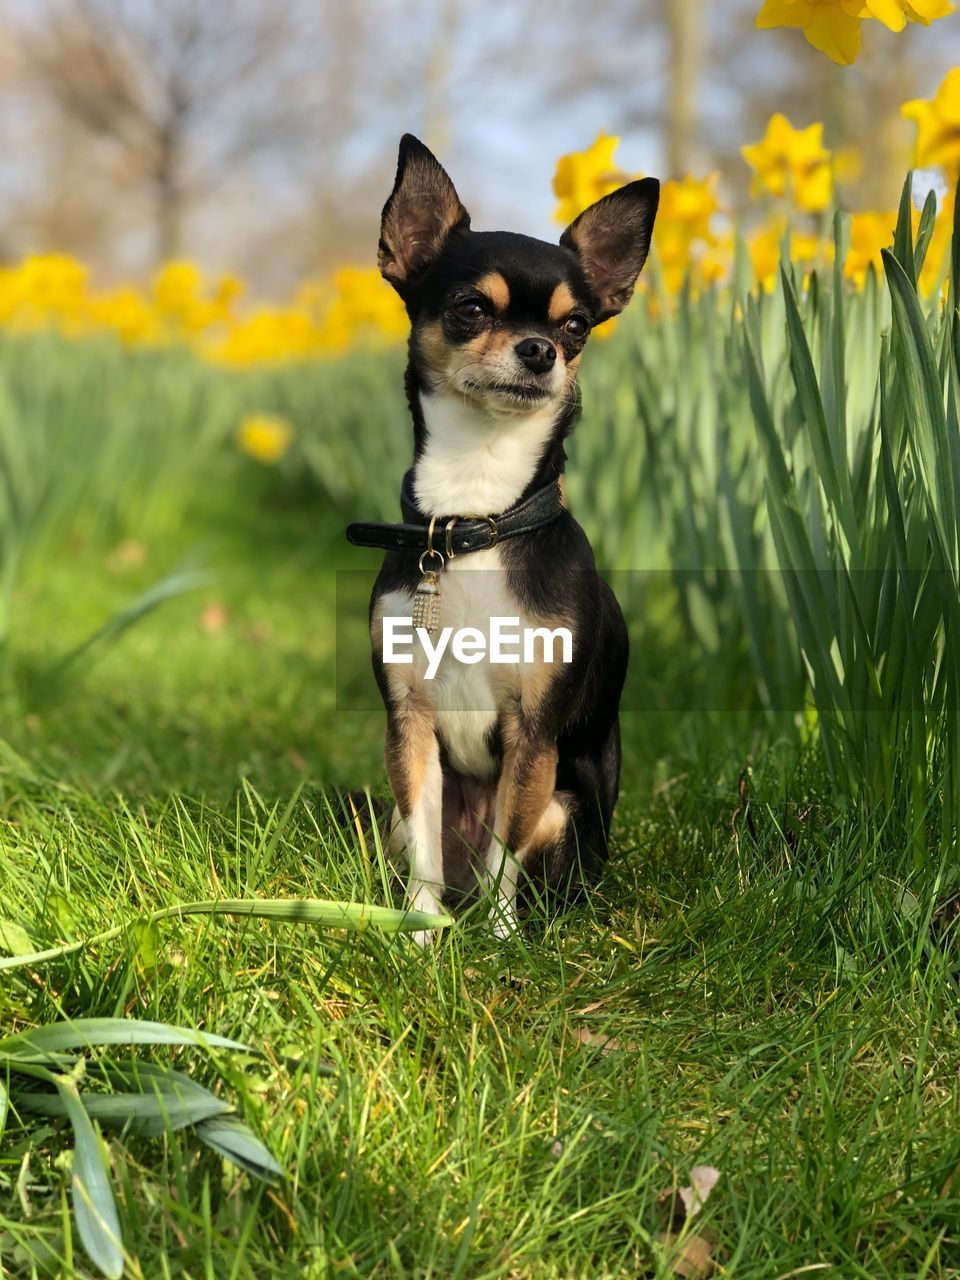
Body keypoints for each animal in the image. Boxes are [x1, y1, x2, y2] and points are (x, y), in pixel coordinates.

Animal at [348, 137, 660, 942]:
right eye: (470, 309)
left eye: (577, 327)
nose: (539, 350)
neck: (474, 519)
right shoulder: (410, 726)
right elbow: (426, 852)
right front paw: (421, 936)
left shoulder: (533, 738)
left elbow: (504, 855)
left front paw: (497, 943)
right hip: (396, 812)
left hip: (565, 809)